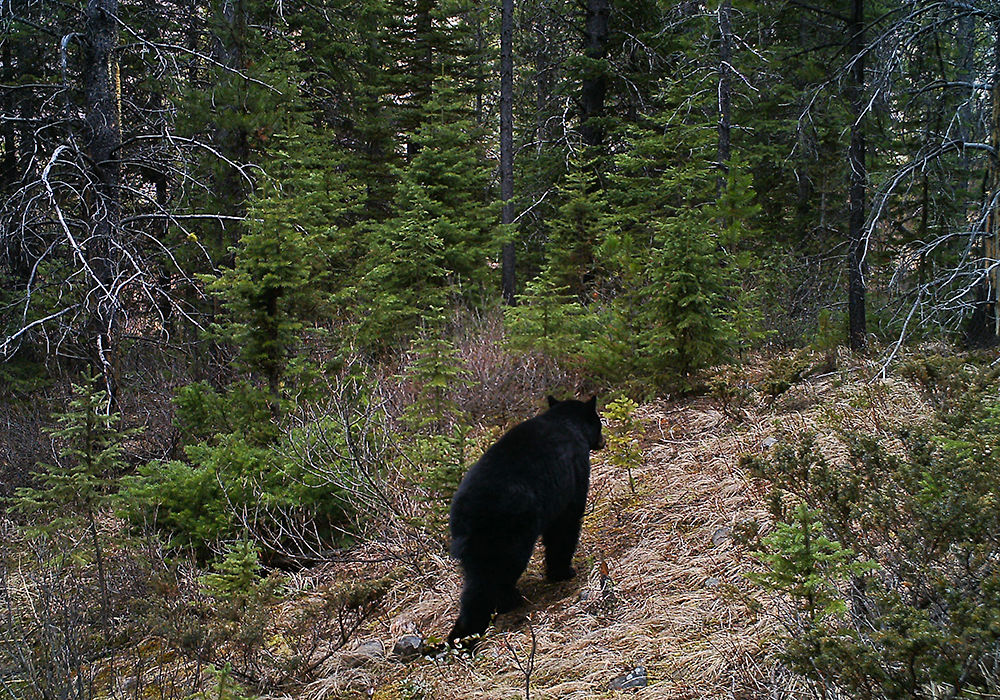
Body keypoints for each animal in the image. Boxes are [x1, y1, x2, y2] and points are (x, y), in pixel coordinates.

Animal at [447, 395, 606, 646]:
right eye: (598, 422)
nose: (603, 441)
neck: (565, 422)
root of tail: (467, 515)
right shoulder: (573, 477)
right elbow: (565, 526)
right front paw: (562, 571)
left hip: (472, 547)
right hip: (507, 534)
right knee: (491, 580)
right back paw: (493, 612)